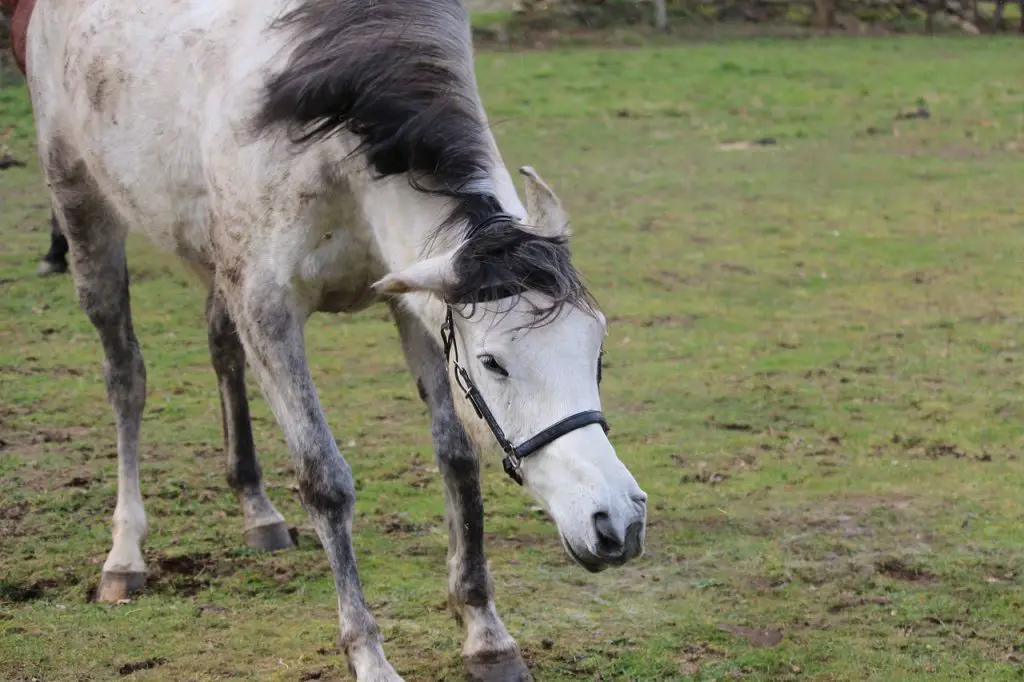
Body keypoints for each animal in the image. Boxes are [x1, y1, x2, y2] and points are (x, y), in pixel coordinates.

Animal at [25, 1, 647, 679]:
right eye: (493, 363)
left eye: (597, 351)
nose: (617, 522)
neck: (331, 134)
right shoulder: (268, 308)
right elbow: (324, 479)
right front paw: (370, 657)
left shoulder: (414, 299)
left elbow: (457, 459)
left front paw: (486, 633)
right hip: (83, 206)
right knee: (125, 379)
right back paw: (125, 555)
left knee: (221, 352)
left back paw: (258, 512)